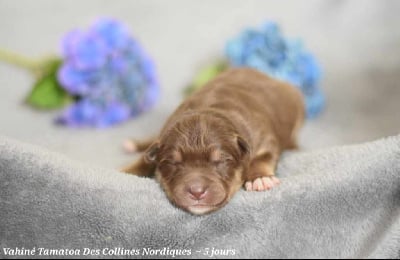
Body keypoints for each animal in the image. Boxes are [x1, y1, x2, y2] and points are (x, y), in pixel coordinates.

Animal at [122, 67, 304, 215]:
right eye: (173, 163)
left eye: (221, 160)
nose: (196, 191)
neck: (210, 108)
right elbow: (145, 160)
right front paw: (128, 170)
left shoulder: (264, 138)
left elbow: (263, 156)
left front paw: (260, 178)